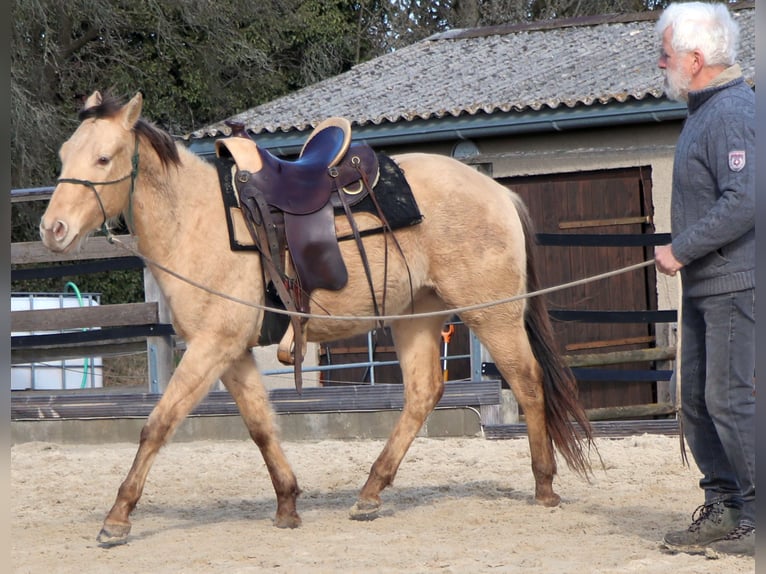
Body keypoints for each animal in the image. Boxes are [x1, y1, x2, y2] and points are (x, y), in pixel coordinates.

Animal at [39, 91, 595, 547]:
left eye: (104, 157)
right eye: (65, 155)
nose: (52, 229)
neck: (198, 221)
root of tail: (497, 191)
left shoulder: (211, 347)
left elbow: (158, 424)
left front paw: (117, 518)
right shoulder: (232, 353)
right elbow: (261, 427)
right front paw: (287, 504)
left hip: (492, 314)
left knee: (527, 382)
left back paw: (544, 485)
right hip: (416, 315)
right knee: (422, 393)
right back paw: (370, 492)